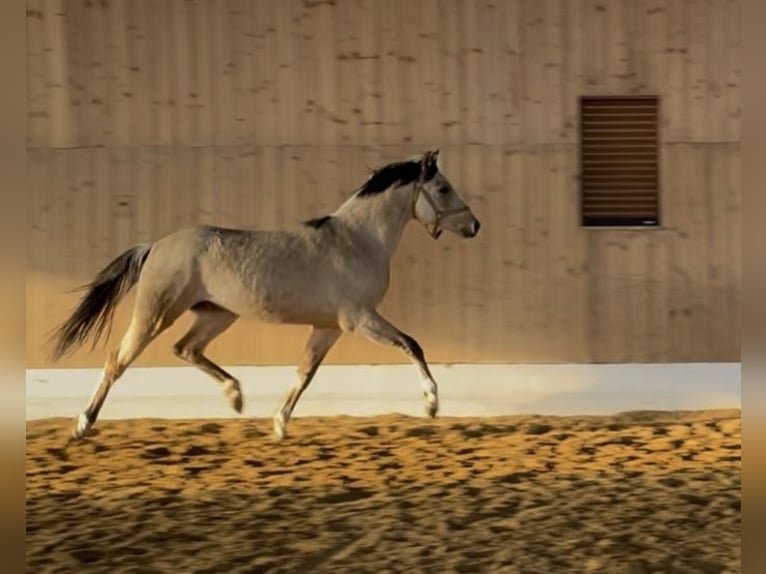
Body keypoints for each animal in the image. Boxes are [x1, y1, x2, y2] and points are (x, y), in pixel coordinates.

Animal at [49, 151, 480, 444]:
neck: (357, 240)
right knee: (117, 360)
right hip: (156, 313)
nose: (474, 225)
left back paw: (235, 396)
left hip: (217, 314)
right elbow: (412, 344)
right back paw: (82, 424)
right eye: (443, 188)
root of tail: (154, 246)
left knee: (185, 349)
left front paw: (278, 423)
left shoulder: (328, 327)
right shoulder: (359, 318)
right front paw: (431, 403)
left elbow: (305, 374)